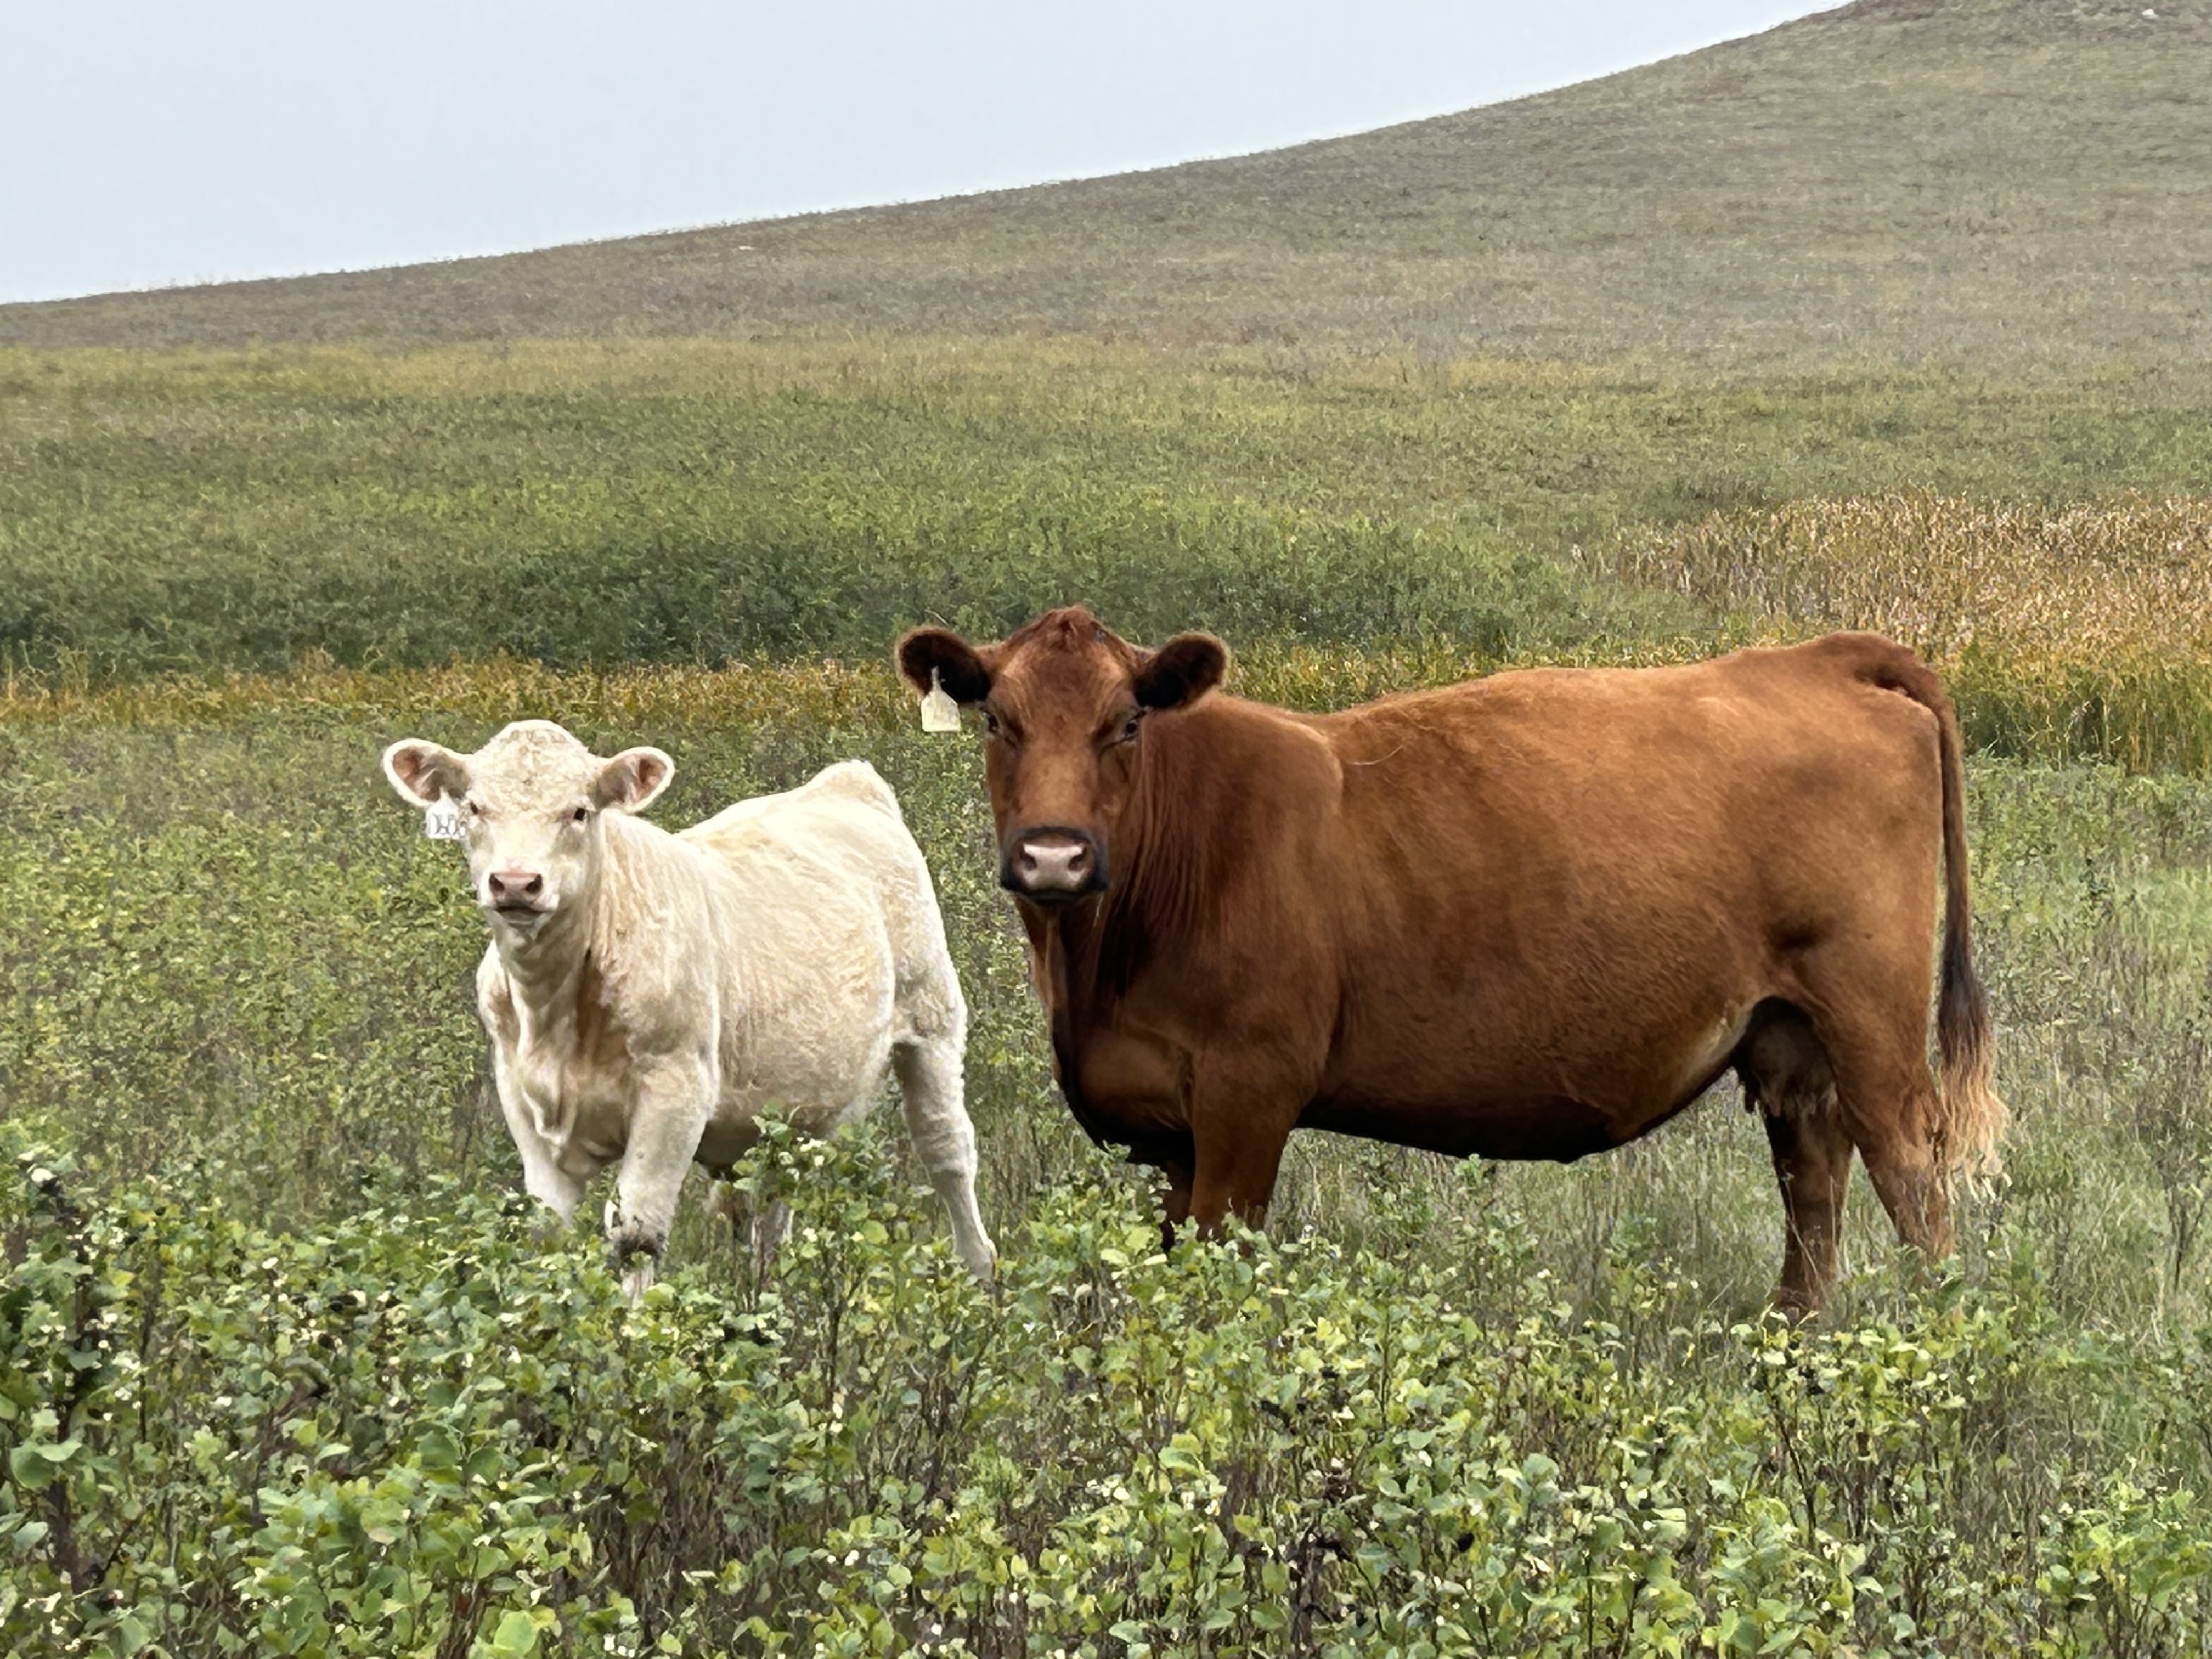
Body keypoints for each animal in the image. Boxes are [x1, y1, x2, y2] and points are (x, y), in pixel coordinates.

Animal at [381, 720, 996, 1299]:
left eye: (579, 811)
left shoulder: (676, 1087)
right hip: (788, 1107)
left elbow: (635, 1234)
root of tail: (848, 781)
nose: (515, 883)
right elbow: (547, 1234)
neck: (554, 1011)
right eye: (474, 808)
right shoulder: (519, 1093)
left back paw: (982, 1279)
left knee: (948, 1151)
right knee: (773, 1213)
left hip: (934, 1020)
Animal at [897, 607, 2004, 1316]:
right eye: (998, 720)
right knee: (1812, 1173)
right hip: (1787, 1031)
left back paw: (1938, 1349)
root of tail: (1813, 657)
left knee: (1910, 1173)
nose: (1053, 854)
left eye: (1125, 722)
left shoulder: (1248, 1096)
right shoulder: (1171, 1126)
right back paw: (1794, 1344)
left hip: (1869, 1017)